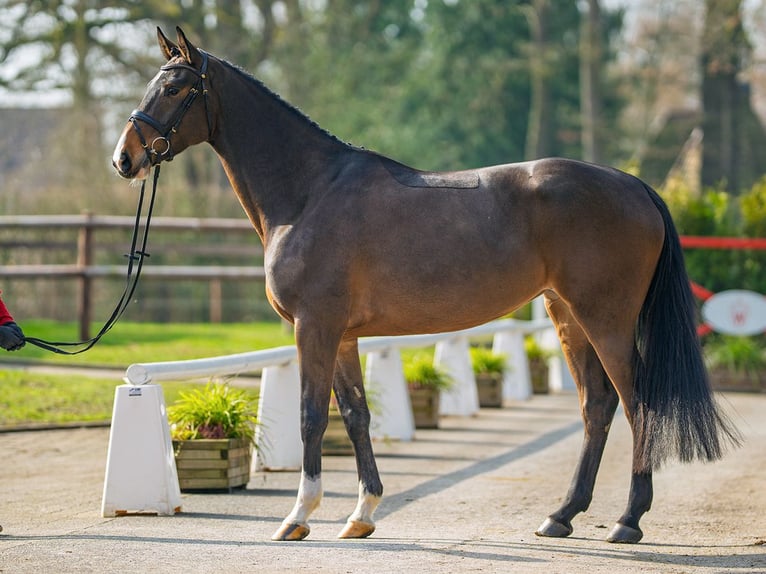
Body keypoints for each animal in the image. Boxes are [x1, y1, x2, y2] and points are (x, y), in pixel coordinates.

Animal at [113, 27, 739, 544]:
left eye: (174, 88)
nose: (125, 159)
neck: (310, 191)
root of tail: (634, 186)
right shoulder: (342, 335)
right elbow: (356, 415)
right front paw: (362, 514)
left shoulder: (314, 327)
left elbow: (312, 414)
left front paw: (298, 516)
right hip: (567, 316)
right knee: (598, 405)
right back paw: (561, 516)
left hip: (605, 319)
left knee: (637, 405)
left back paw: (628, 521)